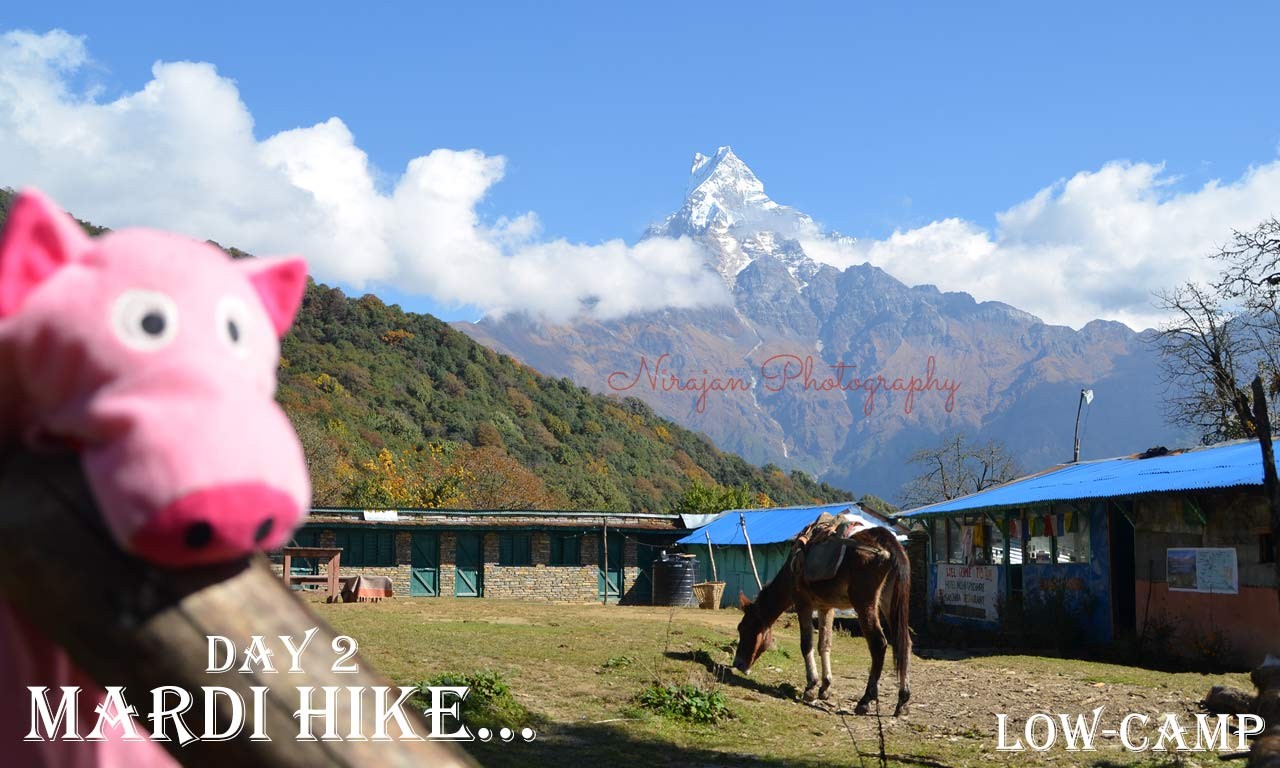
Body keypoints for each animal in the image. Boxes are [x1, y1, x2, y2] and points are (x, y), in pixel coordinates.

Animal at [732, 524, 911, 716]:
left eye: (743, 628)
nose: (737, 664)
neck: (791, 572)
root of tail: (885, 541)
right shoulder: (826, 607)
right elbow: (824, 644)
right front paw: (825, 687)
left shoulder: (803, 604)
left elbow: (806, 644)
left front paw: (811, 687)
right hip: (889, 603)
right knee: (904, 643)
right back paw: (903, 700)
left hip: (865, 603)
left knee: (878, 644)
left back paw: (865, 700)